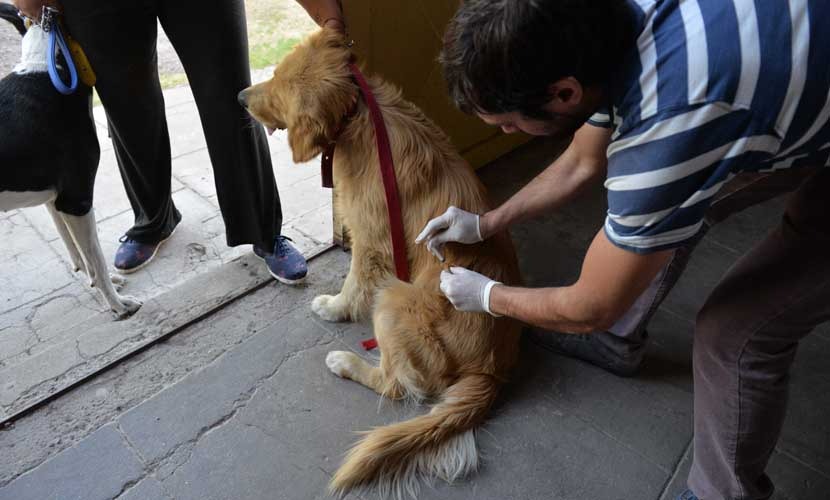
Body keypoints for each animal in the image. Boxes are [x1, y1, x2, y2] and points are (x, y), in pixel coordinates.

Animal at [0, 5, 140, 318]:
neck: (48, 69)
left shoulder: (55, 200)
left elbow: (79, 253)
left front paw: (101, 286)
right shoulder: (76, 199)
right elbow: (96, 258)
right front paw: (117, 305)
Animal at [240, 28, 524, 500]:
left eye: (277, 83)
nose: (241, 95)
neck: (357, 115)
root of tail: (493, 370)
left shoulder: (369, 238)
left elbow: (354, 280)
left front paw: (335, 307)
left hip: (394, 299)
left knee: (394, 385)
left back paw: (346, 363)